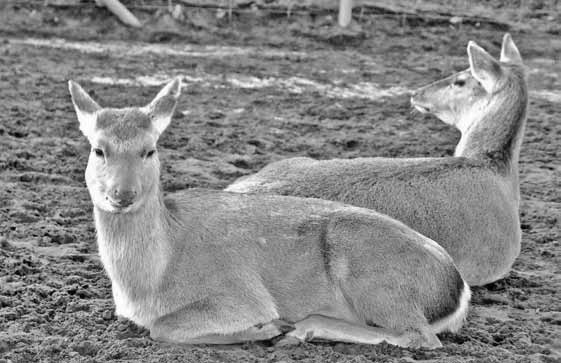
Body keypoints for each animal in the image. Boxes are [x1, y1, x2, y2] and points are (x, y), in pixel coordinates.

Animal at [71, 77, 472, 350]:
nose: (122, 194)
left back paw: (299, 328)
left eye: (149, 150)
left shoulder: (241, 295)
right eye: (98, 149)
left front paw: (264, 328)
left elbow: (164, 328)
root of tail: (458, 287)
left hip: (374, 277)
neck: (145, 285)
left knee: (419, 336)